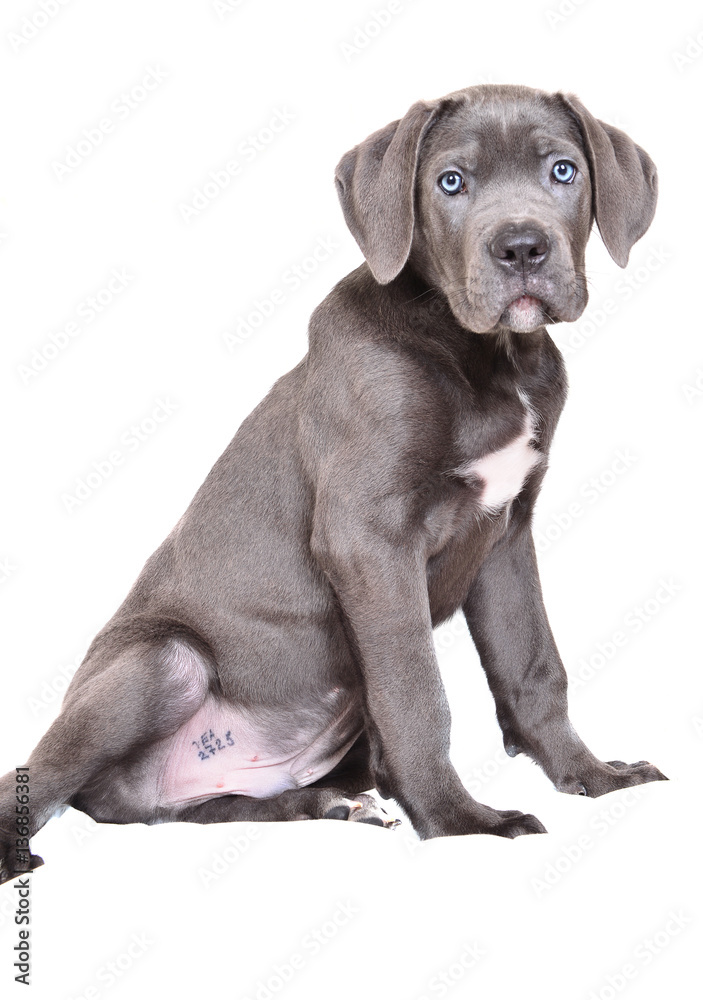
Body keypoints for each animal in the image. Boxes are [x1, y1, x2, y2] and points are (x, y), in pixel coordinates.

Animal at [0, 86, 668, 884]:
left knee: (208, 808)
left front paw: (591, 776)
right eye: (450, 181)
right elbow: (417, 693)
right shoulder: (368, 538)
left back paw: (328, 803)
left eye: (562, 170)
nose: (521, 248)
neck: (487, 355)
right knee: (40, 777)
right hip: (162, 663)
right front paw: (459, 823)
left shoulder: (506, 537)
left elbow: (534, 667)